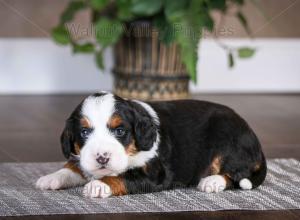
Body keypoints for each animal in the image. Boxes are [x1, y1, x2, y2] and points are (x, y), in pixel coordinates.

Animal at [35, 91, 268, 198]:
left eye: (120, 131)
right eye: (84, 132)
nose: (102, 157)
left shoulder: (155, 174)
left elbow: (123, 176)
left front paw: (99, 185)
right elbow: (74, 166)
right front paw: (51, 177)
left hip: (228, 138)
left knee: (236, 174)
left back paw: (212, 182)